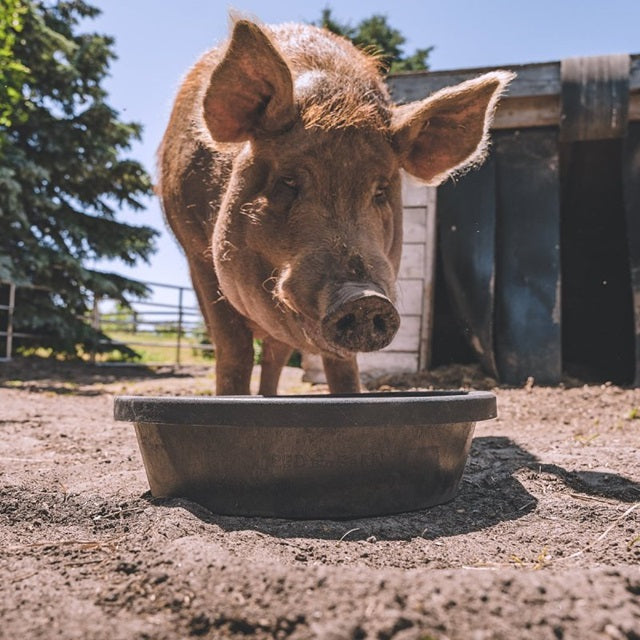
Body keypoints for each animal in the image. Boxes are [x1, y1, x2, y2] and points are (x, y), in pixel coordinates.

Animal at [158, 17, 512, 396]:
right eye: (288, 181)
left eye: (380, 190)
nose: (364, 298)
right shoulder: (198, 257)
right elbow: (234, 349)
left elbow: (342, 364)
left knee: (276, 353)